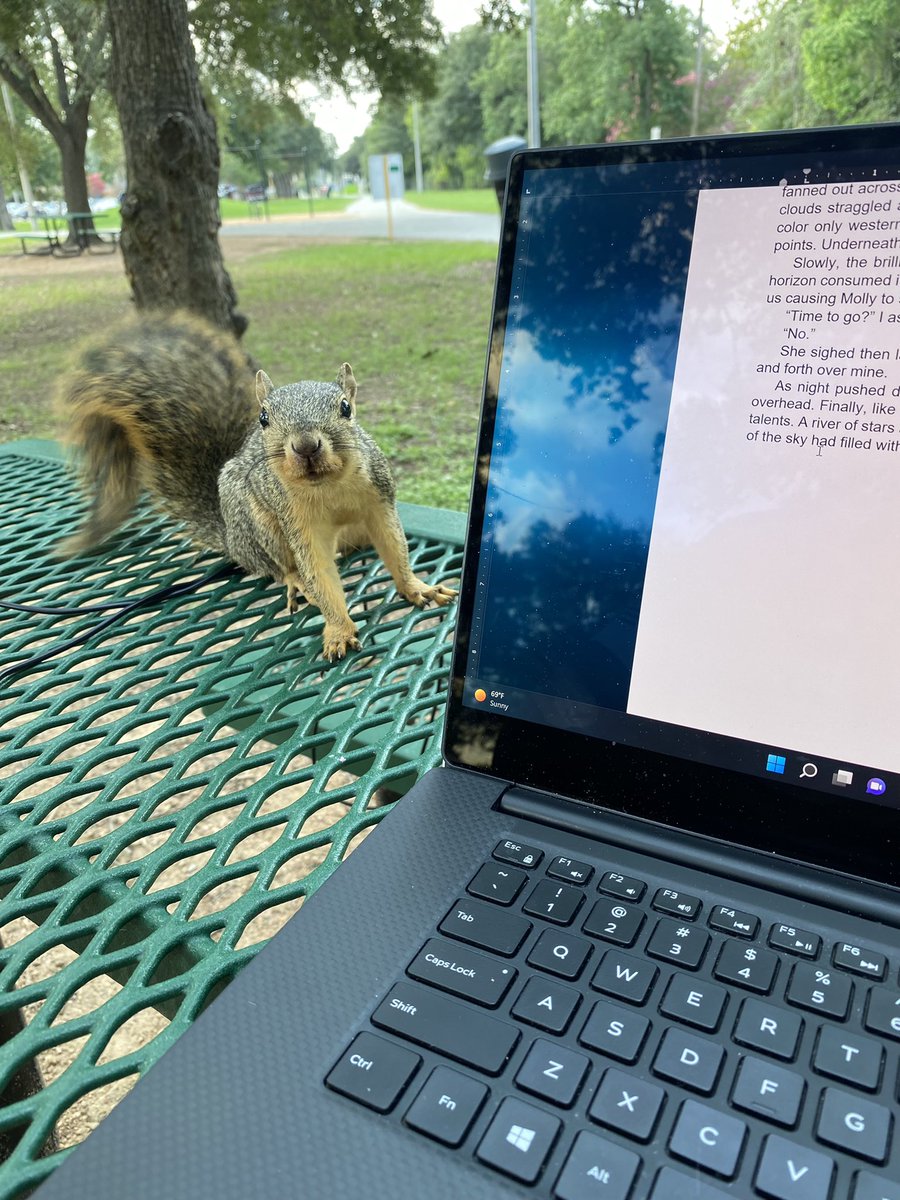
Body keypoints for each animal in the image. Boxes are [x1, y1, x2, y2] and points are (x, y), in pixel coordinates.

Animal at [56, 309, 456, 660]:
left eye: (346, 408)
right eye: (263, 417)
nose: (306, 446)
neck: (328, 486)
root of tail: (231, 538)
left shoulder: (379, 501)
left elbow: (395, 549)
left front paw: (416, 588)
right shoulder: (300, 526)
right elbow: (319, 575)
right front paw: (338, 630)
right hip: (259, 524)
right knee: (279, 566)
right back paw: (294, 580)